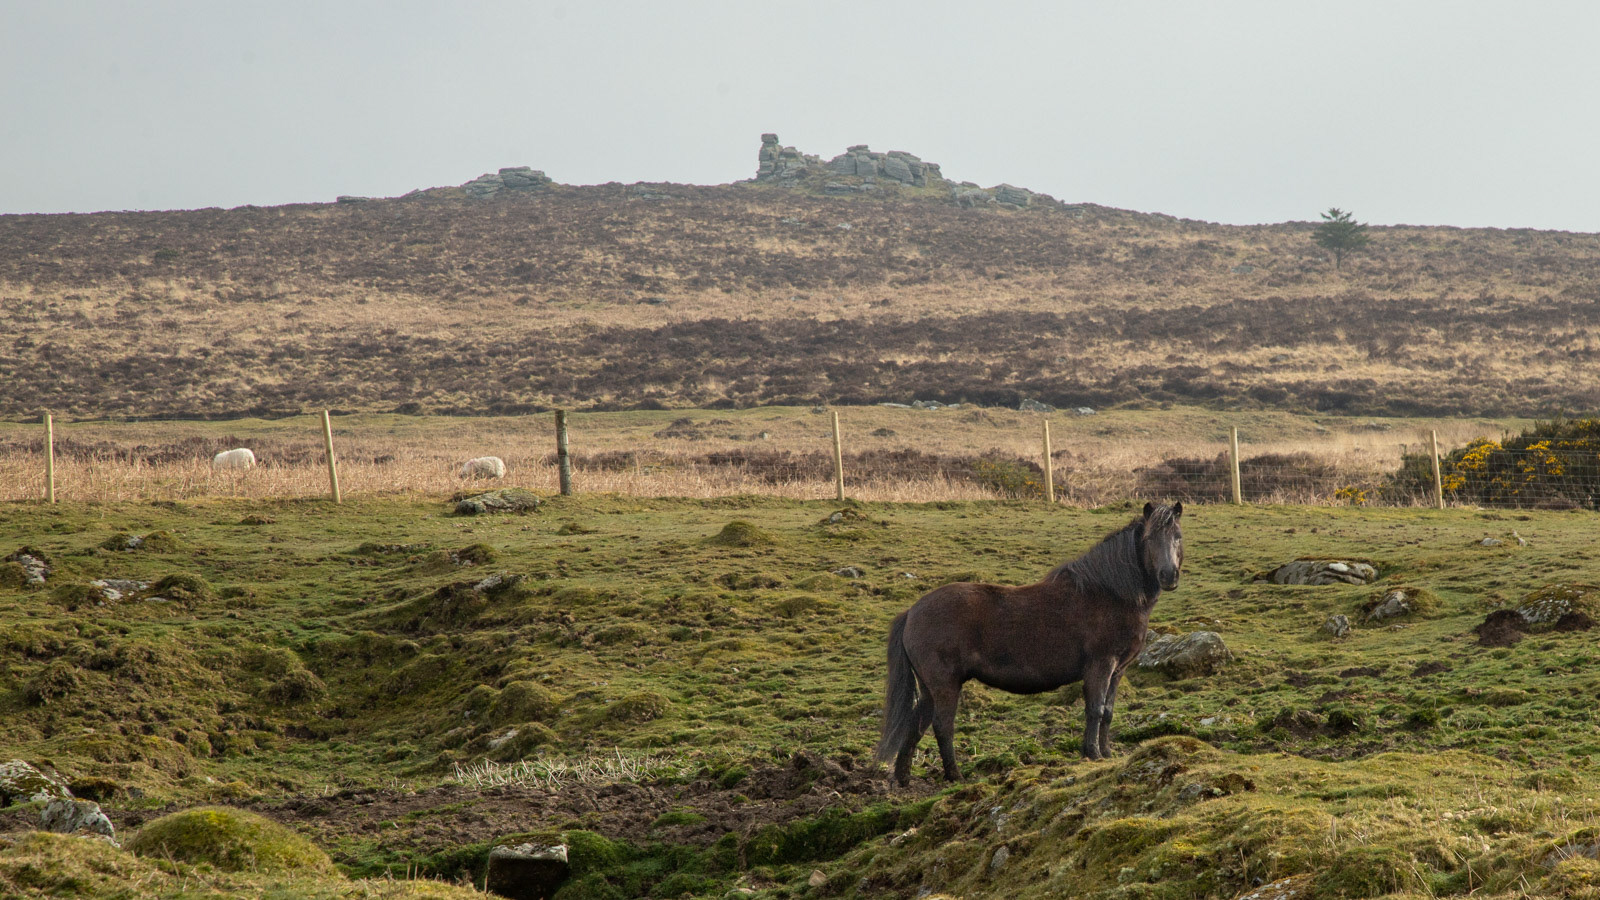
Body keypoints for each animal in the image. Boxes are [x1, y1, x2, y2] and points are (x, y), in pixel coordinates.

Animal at [874, 502, 1184, 785]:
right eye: (1149, 539)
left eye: (1178, 536)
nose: (1169, 576)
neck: (1110, 593)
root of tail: (912, 612)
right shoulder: (1101, 665)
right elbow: (1095, 709)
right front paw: (1093, 754)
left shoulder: (1117, 671)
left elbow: (1107, 712)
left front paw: (1107, 753)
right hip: (944, 686)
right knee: (942, 726)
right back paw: (955, 776)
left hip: (929, 689)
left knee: (916, 725)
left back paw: (903, 779)